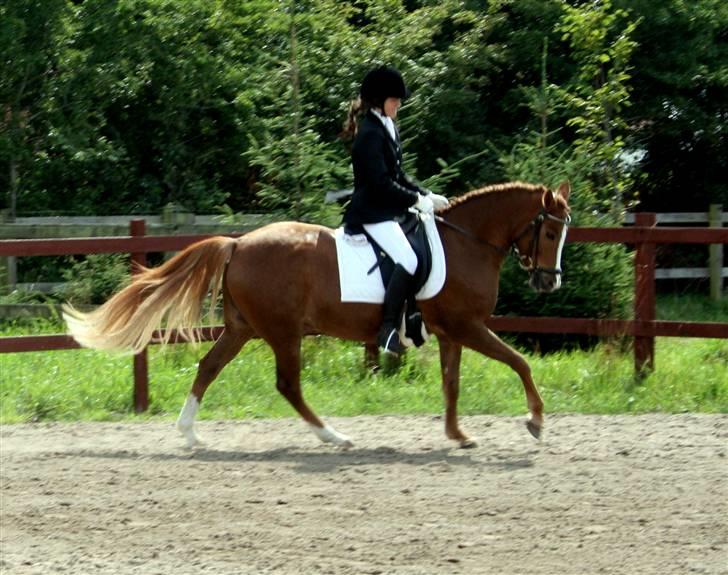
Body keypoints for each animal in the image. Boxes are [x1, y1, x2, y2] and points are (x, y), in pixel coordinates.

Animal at [63, 181, 571, 449]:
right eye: (549, 233)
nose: (550, 282)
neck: (467, 243)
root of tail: (238, 244)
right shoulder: (468, 326)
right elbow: (520, 362)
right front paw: (535, 421)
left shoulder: (451, 332)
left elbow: (452, 384)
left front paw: (457, 434)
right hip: (284, 332)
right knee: (287, 384)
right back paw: (334, 436)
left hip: (242, 329)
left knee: (208, 367)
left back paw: (190, 434)